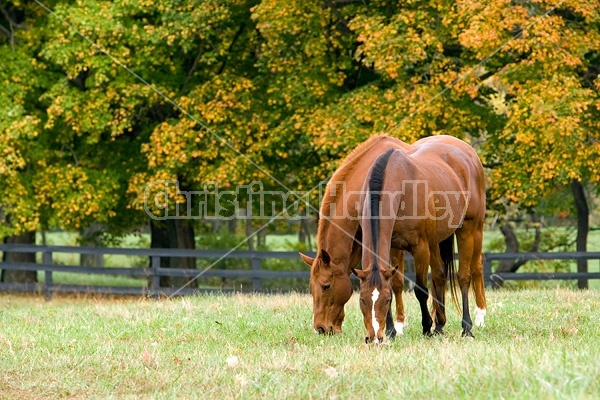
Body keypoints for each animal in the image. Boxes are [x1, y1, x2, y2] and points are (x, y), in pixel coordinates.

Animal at [352, 136, 488, 342]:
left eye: (386, 300)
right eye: (362, 300)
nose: (374, 337)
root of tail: (468, 154)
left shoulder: (420, 248)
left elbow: (421, 289)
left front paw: (426, 328)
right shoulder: (392, 247)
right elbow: (395, 282)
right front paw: (392, 331)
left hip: (470, 229)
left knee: (466, 275)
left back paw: (468, 327)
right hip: (437, 240)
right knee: (440, 274)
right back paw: (440, 325)